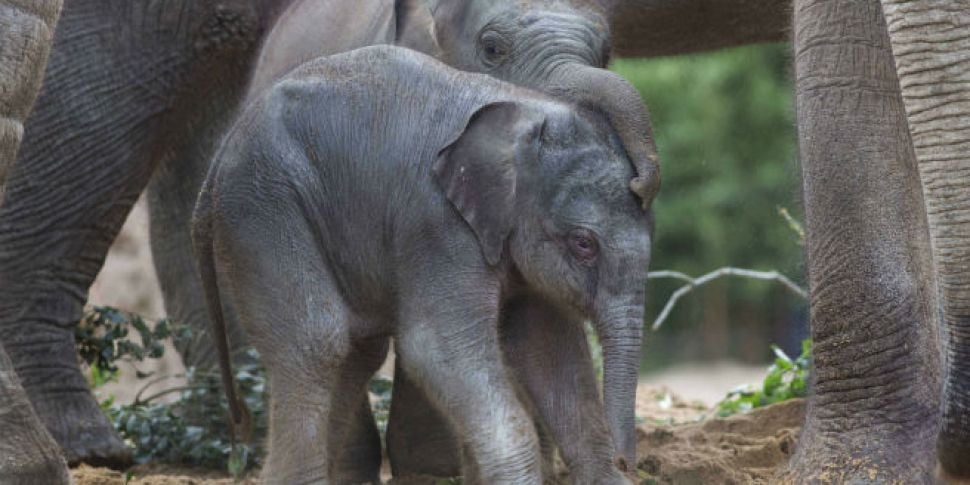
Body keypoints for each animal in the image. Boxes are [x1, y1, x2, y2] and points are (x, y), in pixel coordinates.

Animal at [192, 46, 652, 484]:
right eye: (584, 244)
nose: (628, 462)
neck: (520, 108)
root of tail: (215, 163)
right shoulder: (437, 225)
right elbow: (433, 347)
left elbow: (551, 351)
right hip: (264, 208)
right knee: (317, 342)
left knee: (357, 351)